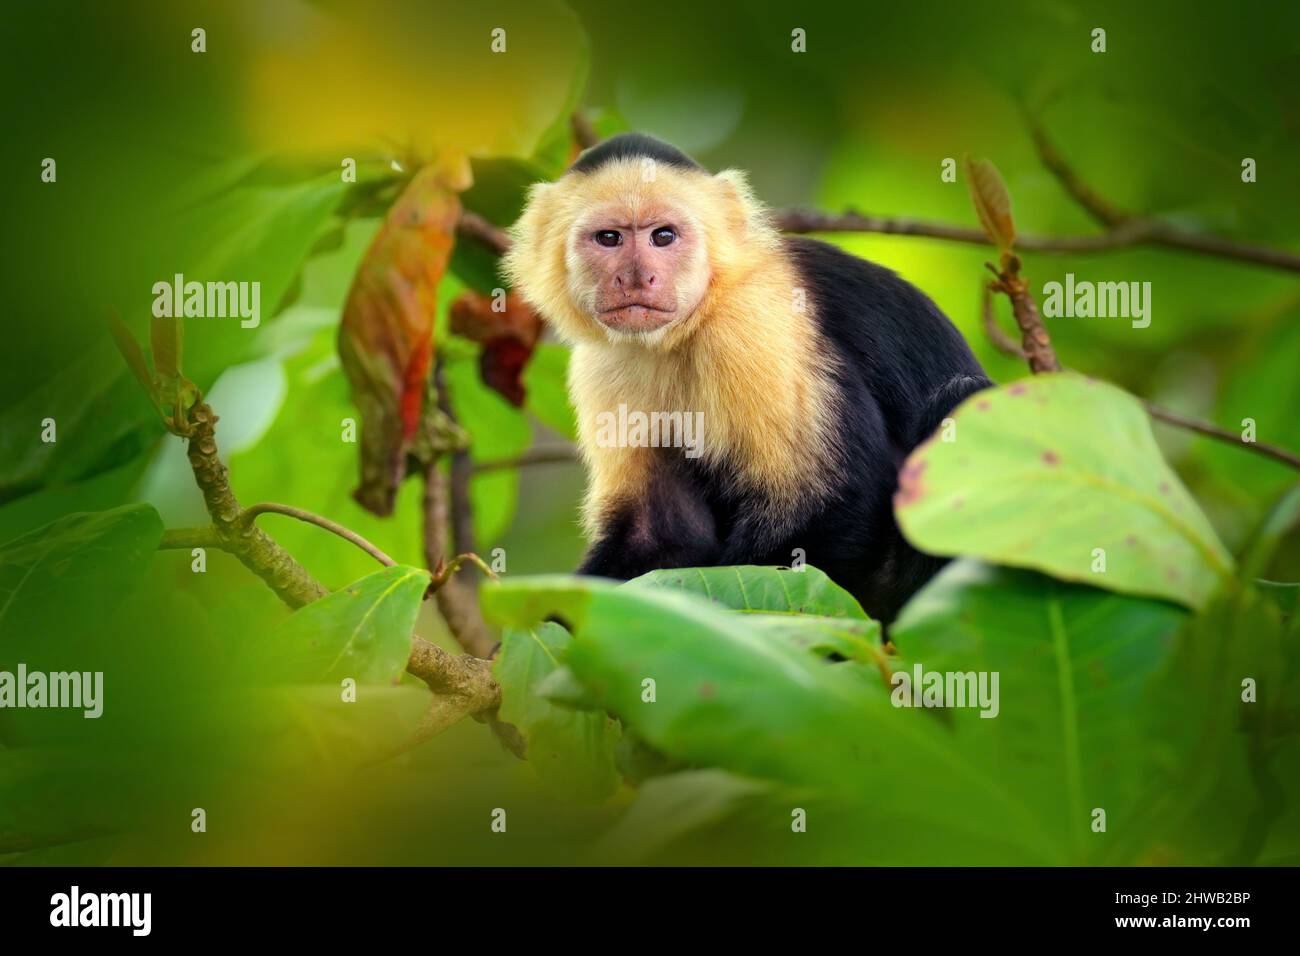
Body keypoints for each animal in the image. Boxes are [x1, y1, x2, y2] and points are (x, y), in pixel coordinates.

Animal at [504, 133, 991, 622]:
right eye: (609, 238)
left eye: (664, 236)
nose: (638, 278)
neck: (691, 323)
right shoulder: (603, 364)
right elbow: (657, 535)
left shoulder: (754, 321)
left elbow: (831, 498)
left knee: (958, 402)